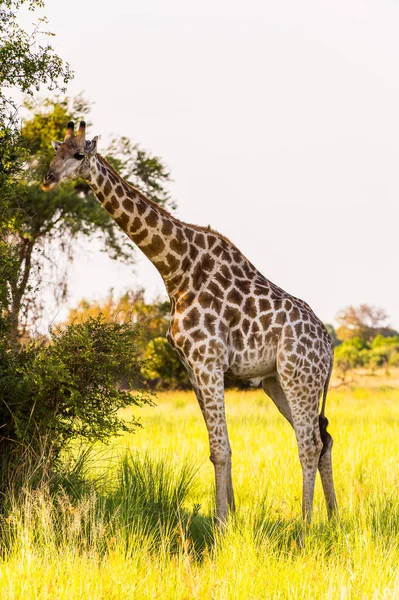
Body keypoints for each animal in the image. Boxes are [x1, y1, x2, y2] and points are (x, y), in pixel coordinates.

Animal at [43, 120, 338, 524]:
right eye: (55, 150)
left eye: (78, 154)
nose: (48, 177)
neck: (176, 269)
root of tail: (328, 345)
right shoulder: (192, 366)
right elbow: (217, 448)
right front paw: (230, 518)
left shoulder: (208, 361)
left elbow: (221, 447)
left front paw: (221, 524)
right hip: (278, 381)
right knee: (322, 438)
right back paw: (334, 518)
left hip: (300, 377)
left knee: (308, 443)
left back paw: (307, 525)